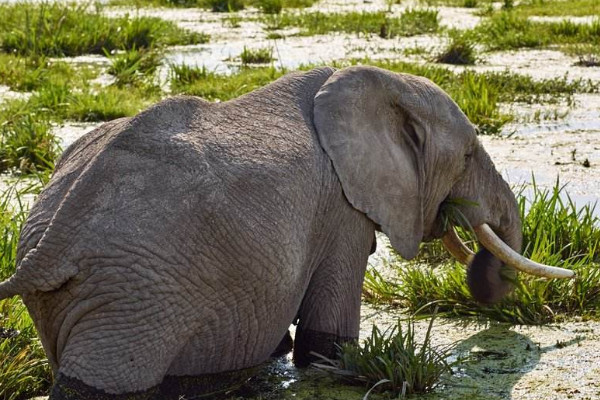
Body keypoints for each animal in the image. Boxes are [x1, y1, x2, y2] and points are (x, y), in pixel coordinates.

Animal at [0, 65, 572, 396]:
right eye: (470, 154)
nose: (485, 282)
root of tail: (52, 243)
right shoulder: (340, 211)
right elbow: (326, 341)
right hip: (134, 296)